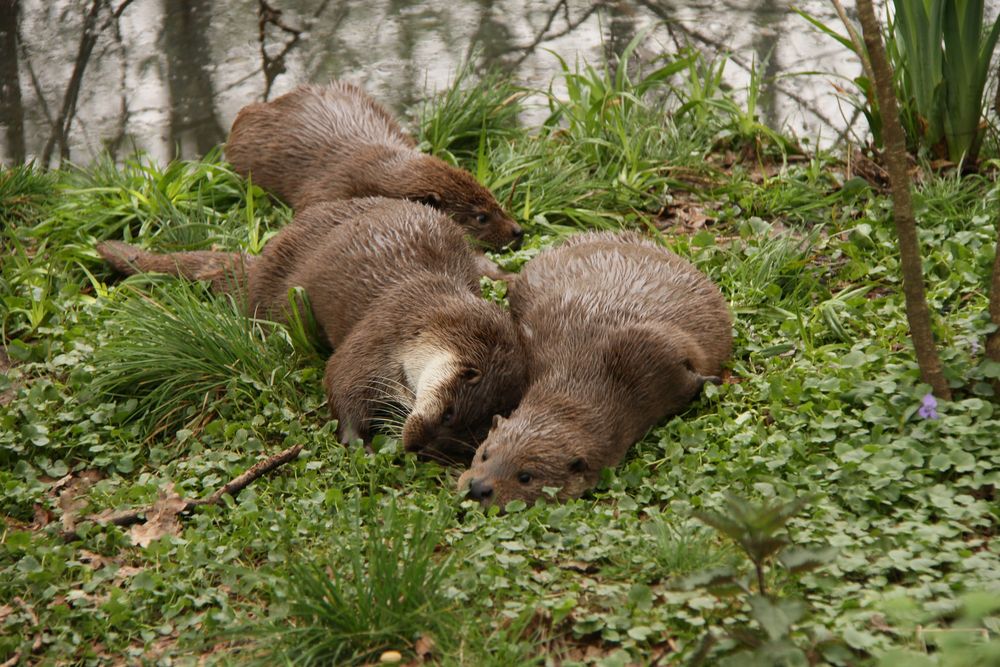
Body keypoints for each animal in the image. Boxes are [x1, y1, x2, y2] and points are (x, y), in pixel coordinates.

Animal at [96, 196, 528, 462]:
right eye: (449, 412)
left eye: (457, 443)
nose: (415, 445)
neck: (431, 317)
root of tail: (261, 262)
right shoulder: (386, 328)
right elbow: (340, 378)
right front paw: (357, 441)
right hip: (279, 298)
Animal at [458, 232, 732, 508]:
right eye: (485, 454)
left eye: (525, 476)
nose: (478, 487)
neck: (582, 374)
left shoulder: (648, 350)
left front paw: (710, 380)